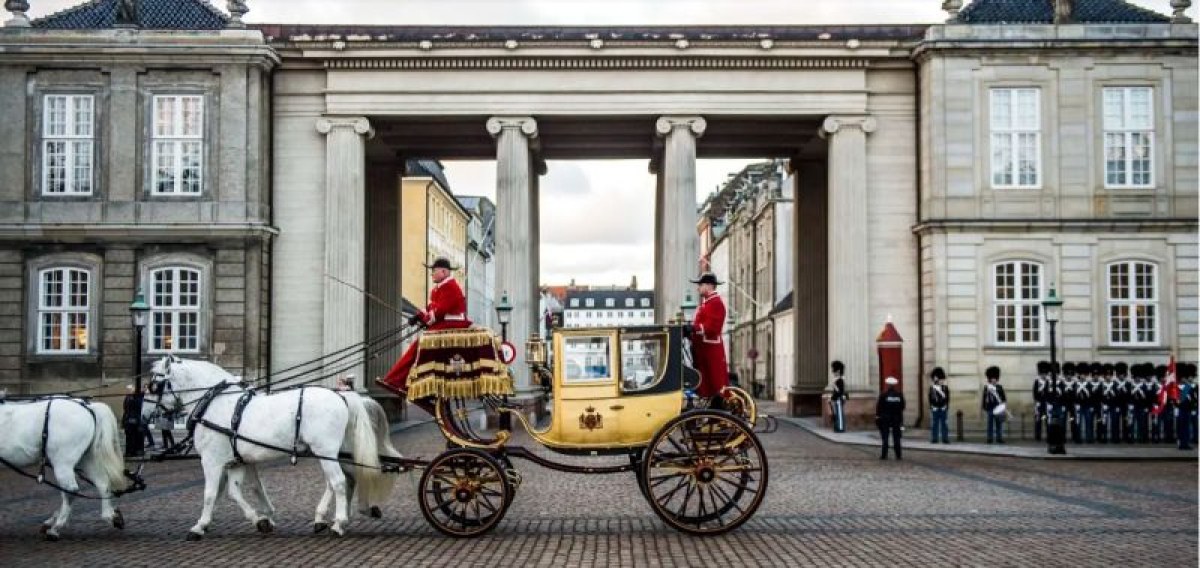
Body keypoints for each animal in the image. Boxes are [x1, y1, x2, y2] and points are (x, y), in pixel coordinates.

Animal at [0, 396, 129, 537]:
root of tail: (88, 406)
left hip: (62, 463)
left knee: (70, 490)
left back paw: (56, 526)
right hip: (85, 459)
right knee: (102, 483)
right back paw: (110, 516)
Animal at [147, 355, 386, 537]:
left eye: (153, 385)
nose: (147, 415)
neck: (216, 404)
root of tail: (342, 396)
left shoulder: (211, 460)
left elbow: (210, 493)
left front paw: (199, 526)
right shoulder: (236, 461)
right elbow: (235, 491)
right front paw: (260, 519)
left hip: (325, 451)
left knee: (338, 482)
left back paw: (338, 523)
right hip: (334, 452)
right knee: (344, 480)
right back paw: (329, 519)